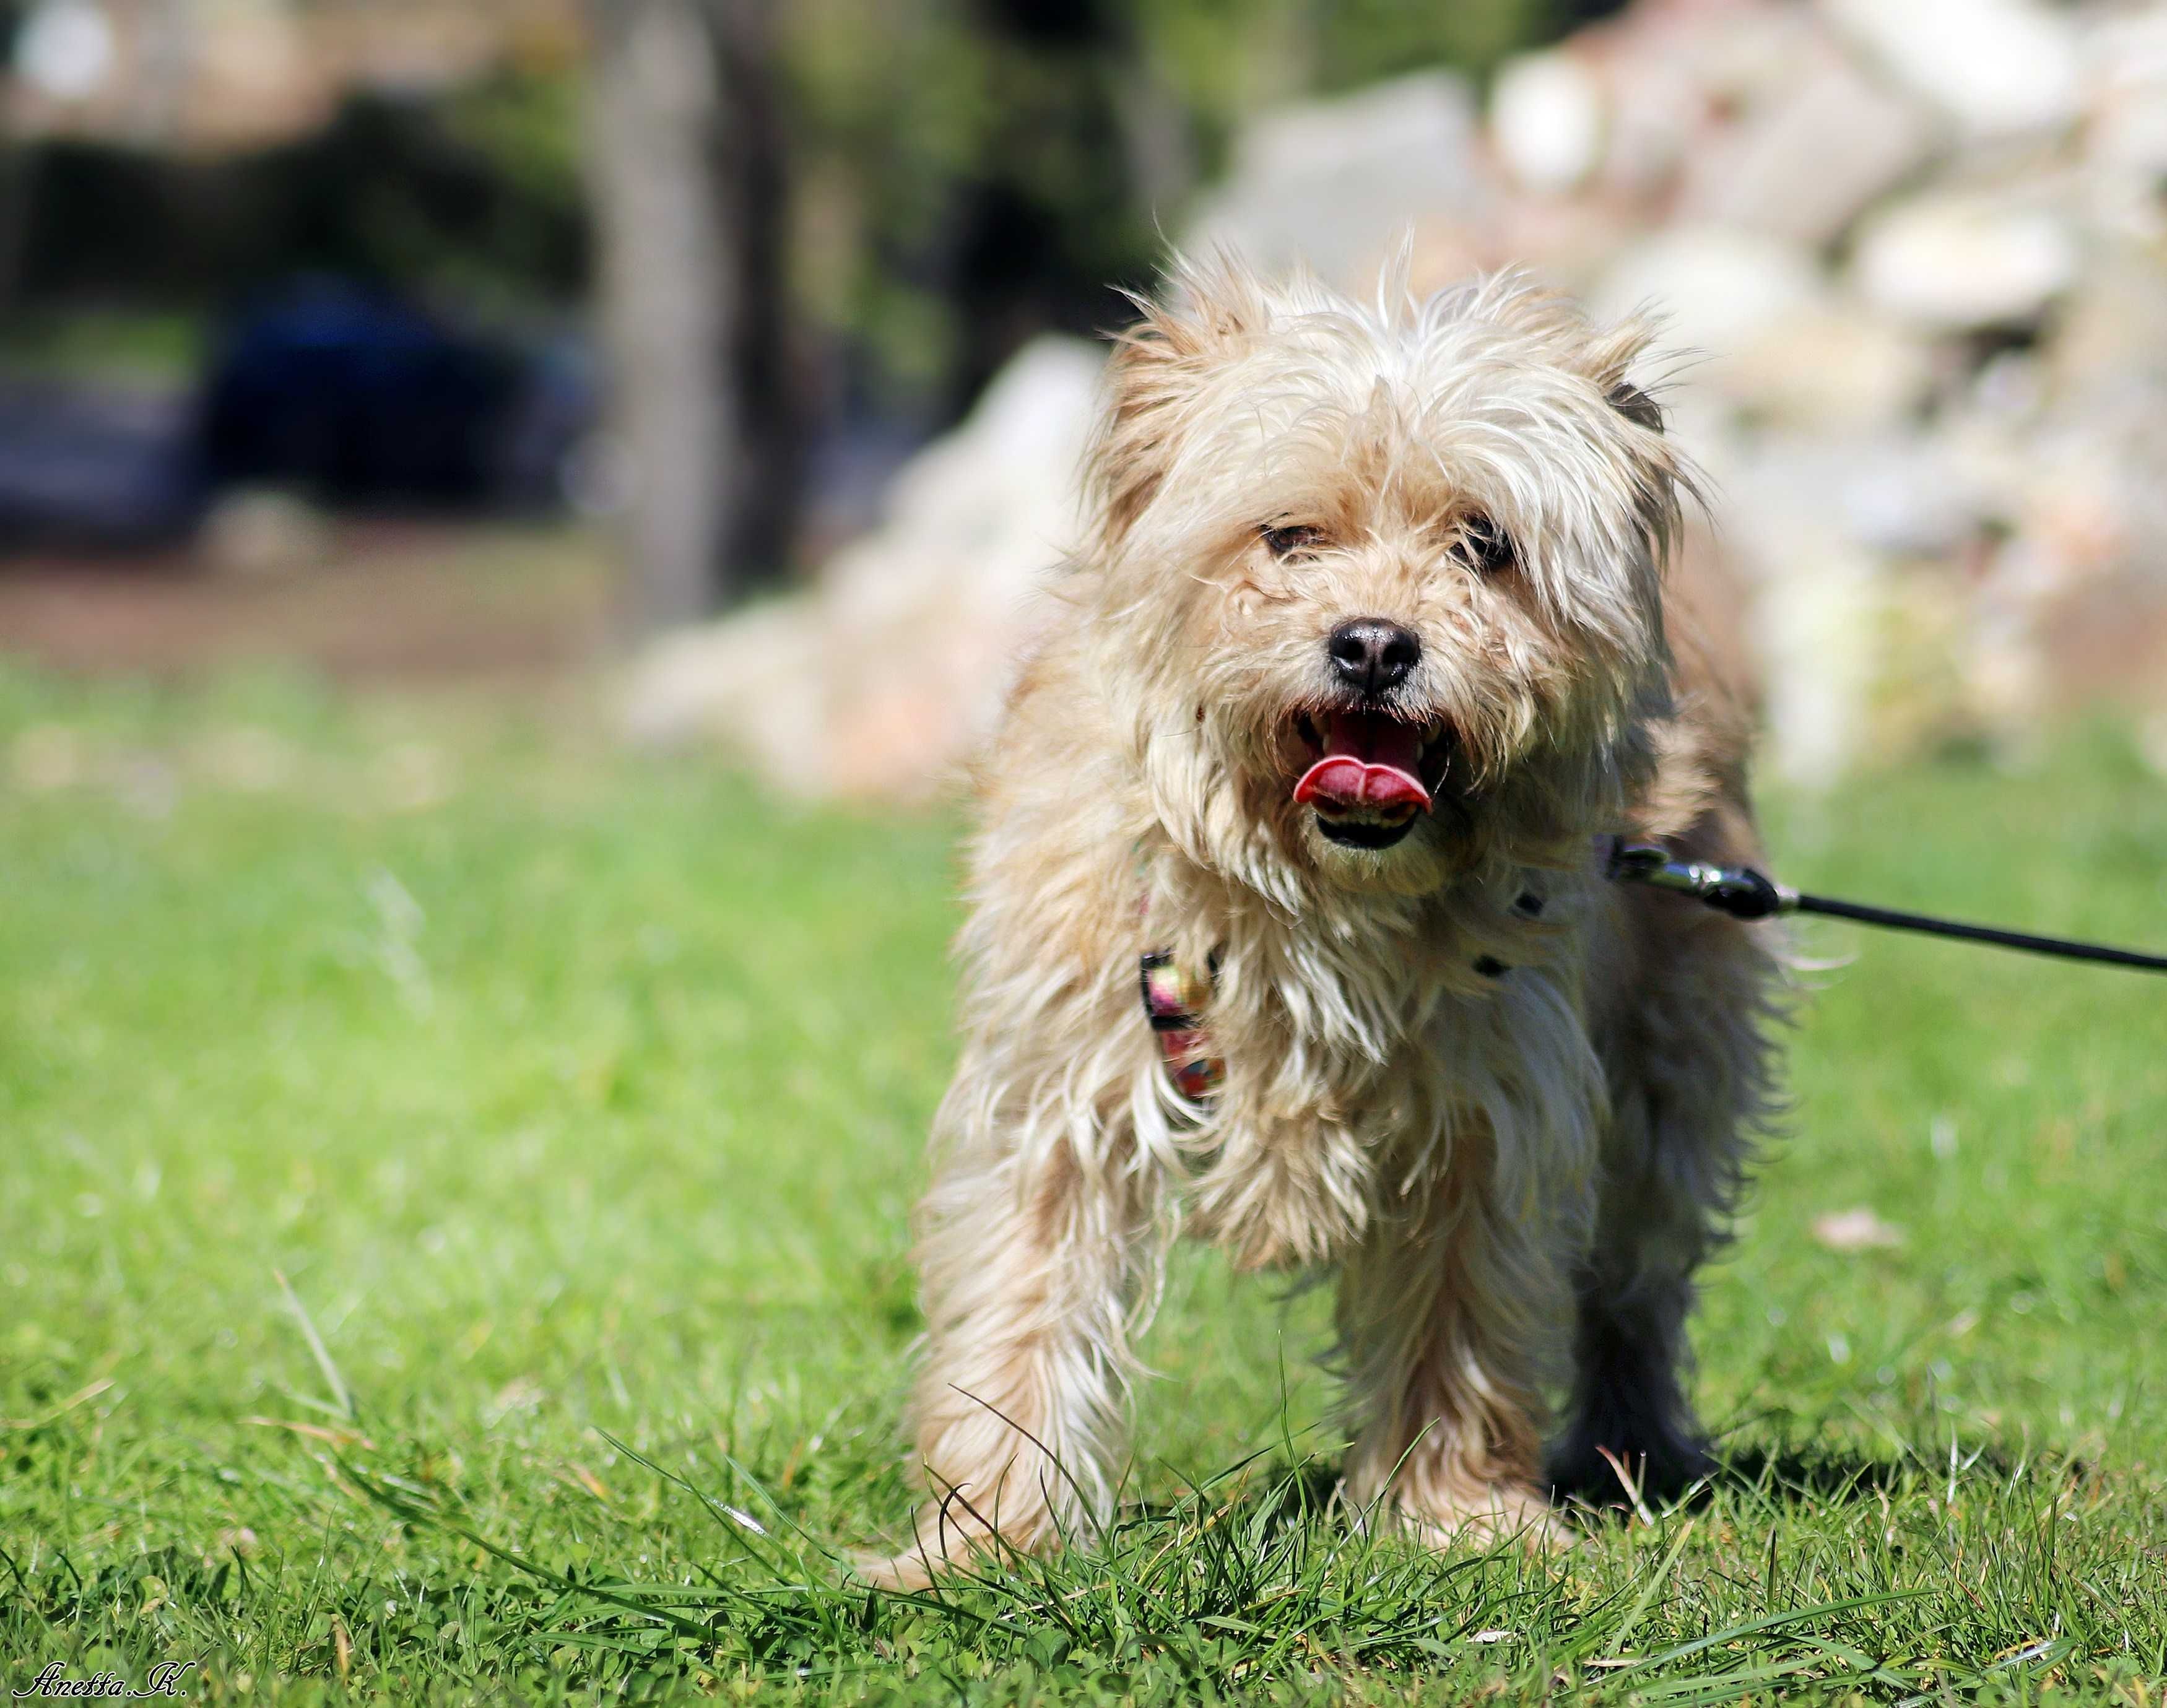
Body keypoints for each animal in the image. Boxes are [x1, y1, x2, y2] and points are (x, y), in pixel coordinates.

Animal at [871, 253, 1786, 1586]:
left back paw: (1633, 1440)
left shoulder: (1488, 1105)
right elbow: (1025, 1300)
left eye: (1483, 543)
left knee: (1635, 1279)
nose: (1371, 645)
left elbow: (1463, 1316)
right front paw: (989, 1532)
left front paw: (1455, 1513)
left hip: (1674, 1068)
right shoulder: (1061, 1085)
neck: (1312, 892)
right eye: (1290, 534)